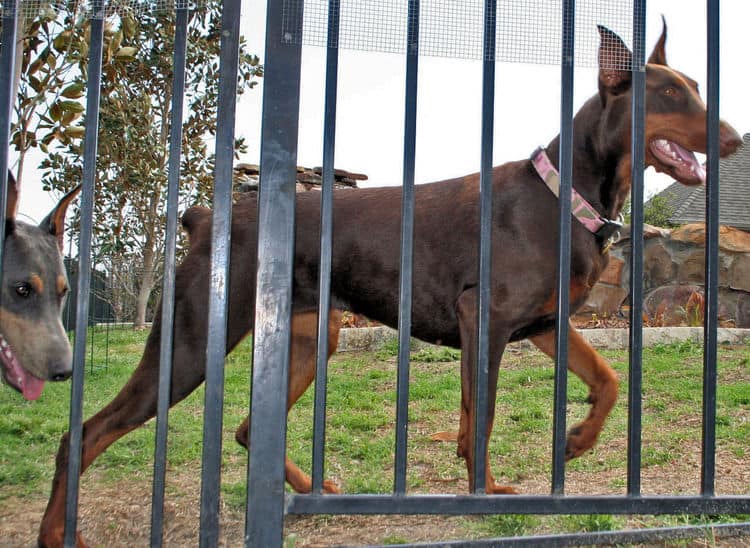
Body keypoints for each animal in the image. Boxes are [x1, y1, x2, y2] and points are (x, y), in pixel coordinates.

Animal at [36, 23, 740, 544]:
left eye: (694, 88)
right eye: (670, 95)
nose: (733, 139)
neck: (566, 195)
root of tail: (208, 217)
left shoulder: (543, 324)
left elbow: (607, 379)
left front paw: (574, 440)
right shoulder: (483, 317)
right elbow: (482, 415)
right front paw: (484, 490)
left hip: (310, 340)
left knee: (245, 430)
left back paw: (312, 491)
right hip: (190, 343)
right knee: (84, 434)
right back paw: (57, 533)